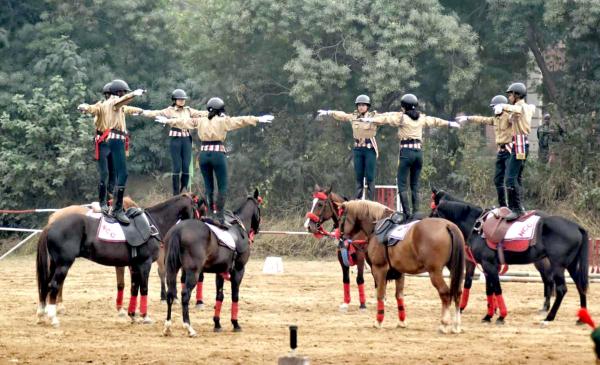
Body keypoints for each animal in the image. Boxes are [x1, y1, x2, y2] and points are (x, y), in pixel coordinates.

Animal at [163, 189, 262, 336]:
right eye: (259, 209)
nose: (257, 229)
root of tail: (178, 230)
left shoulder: (220, 272)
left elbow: (219, 296)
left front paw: (217, 323)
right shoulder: (238, 270)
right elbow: (235, 296)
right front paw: (235, 323)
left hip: (172, 269)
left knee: (170, 293)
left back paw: (168, 326)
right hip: (193, 272)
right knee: (185, 294)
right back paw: (188, 326)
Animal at [340, 199, 466, 332]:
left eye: (341, 219)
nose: (341, 237)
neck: (376, 227)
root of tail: (448, 225)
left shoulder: (379, 270)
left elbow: (380, 295)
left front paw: (378, 321)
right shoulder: (399, 273)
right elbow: (399, 296)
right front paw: (401, 321)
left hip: (434, 272)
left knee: (445, 293)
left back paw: (444, 324)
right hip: (453, 269)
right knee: (458, 292)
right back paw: (456, 325)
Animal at [428, 188, 588, 324]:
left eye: (433, 212)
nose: (426, 227)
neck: (477, 226)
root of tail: (576, 226)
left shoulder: (488, 264)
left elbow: (496, 288)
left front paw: (500, 315)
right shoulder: (487, 265)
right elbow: (489, 289)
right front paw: (489, 314)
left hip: (557, 266)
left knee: (559, 288)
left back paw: (549, 316)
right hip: (571, 265)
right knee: (579, 285)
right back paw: (581, 318)